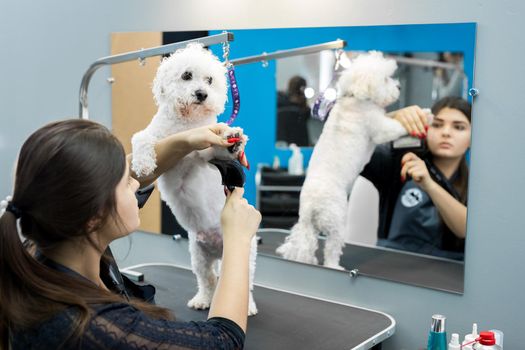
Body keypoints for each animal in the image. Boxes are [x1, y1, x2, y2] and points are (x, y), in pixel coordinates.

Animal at [131, 43, 258, 314]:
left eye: (210, 80)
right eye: (187, 75)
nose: (202, 94)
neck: (186, 124)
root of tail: (219, 250)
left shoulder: (204, 155)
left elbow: (217, 150)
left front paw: (233, 139)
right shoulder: (159, 139)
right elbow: (142, 139)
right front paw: (144, 163)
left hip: (246, 256)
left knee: (246, 286)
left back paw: (249, 306)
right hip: (198, 256)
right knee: (208, 281)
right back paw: (202, 299)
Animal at [276, 50, 408, 268]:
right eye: (385, 79)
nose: (399, 87)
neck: (355, 98)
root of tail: (312, 204)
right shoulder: (378, 126)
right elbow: (394, 127)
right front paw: (423, 116)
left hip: (308, 226)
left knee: (305, 244)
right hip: (336, 222)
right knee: (331, 248)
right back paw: (333, 265)